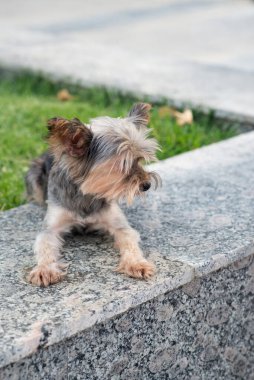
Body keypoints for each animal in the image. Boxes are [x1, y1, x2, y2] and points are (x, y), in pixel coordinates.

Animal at [25, 102, 161, 286]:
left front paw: (136, 263)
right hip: (34, 174)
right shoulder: (51, 227)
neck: (88, 194)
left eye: (139, 159)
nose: (146, 185)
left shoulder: (120, 225)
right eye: (122, 165)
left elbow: (129, 240)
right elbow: (45, 244)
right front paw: (44, 269)